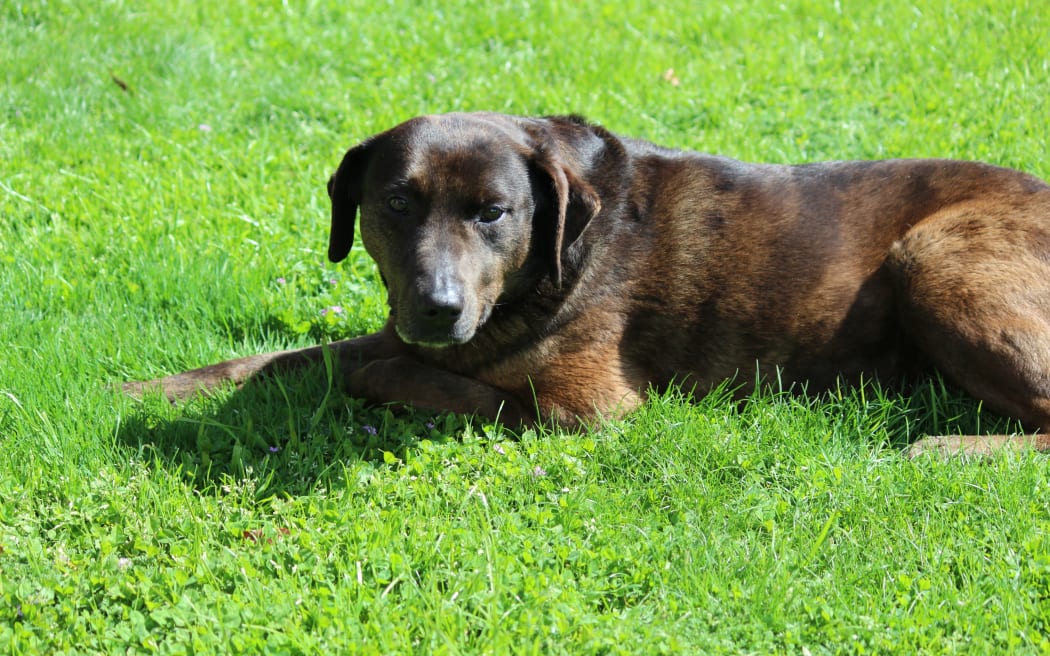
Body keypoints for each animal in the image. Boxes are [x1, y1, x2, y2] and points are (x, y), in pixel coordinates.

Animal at [122, 111, 1050, 455]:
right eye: (394, 203)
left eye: (493, 212)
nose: (438, 308)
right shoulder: (398, 325)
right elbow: (274, 359)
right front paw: (150, 388)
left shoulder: (583, 409)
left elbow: (402, 375)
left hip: (936, 258)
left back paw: (949, 447)